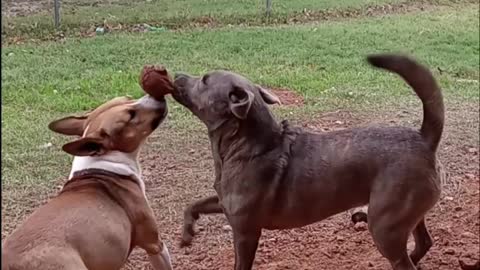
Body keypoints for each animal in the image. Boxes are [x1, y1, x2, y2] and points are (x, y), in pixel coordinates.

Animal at [171, 53, 444, 270]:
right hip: (404, 216)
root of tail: (423, 138)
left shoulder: (246, 232)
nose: (176, 75)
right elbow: (193, 205)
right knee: (424, 242)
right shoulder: (223, 201)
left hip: (385, 227)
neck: (246, 146)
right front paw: (186, 235)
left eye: (205, 80)